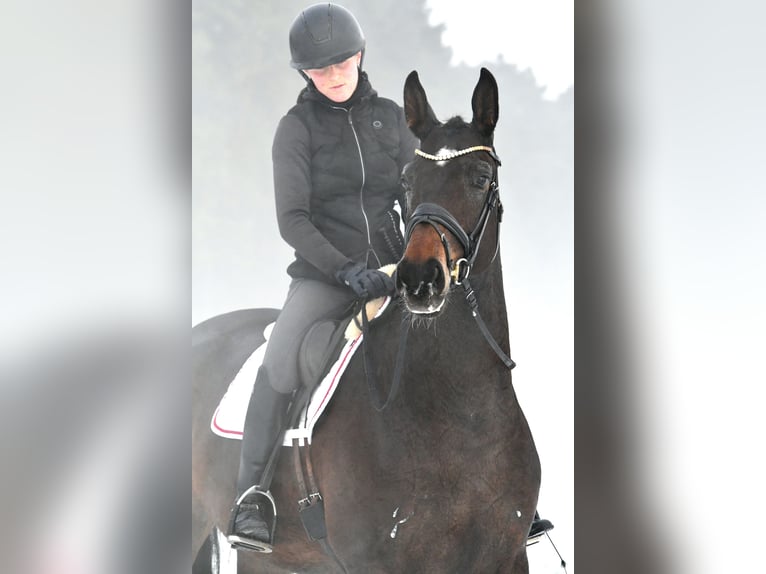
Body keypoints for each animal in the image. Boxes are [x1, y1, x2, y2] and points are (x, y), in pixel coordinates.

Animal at [192, 67, 541, 573]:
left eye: (480, 177)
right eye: (409, 180)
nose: (419, 279)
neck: (459, 409)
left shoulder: (507, 557)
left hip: (273, 560)